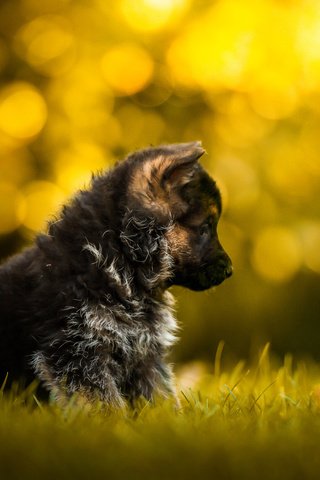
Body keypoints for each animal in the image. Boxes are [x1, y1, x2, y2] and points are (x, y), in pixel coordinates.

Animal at [0, 141, 232, 406]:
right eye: (205, 227)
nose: (230, 269)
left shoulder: (145, 353)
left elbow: (160, 394)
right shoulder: (77, 353)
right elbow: (104, 401)